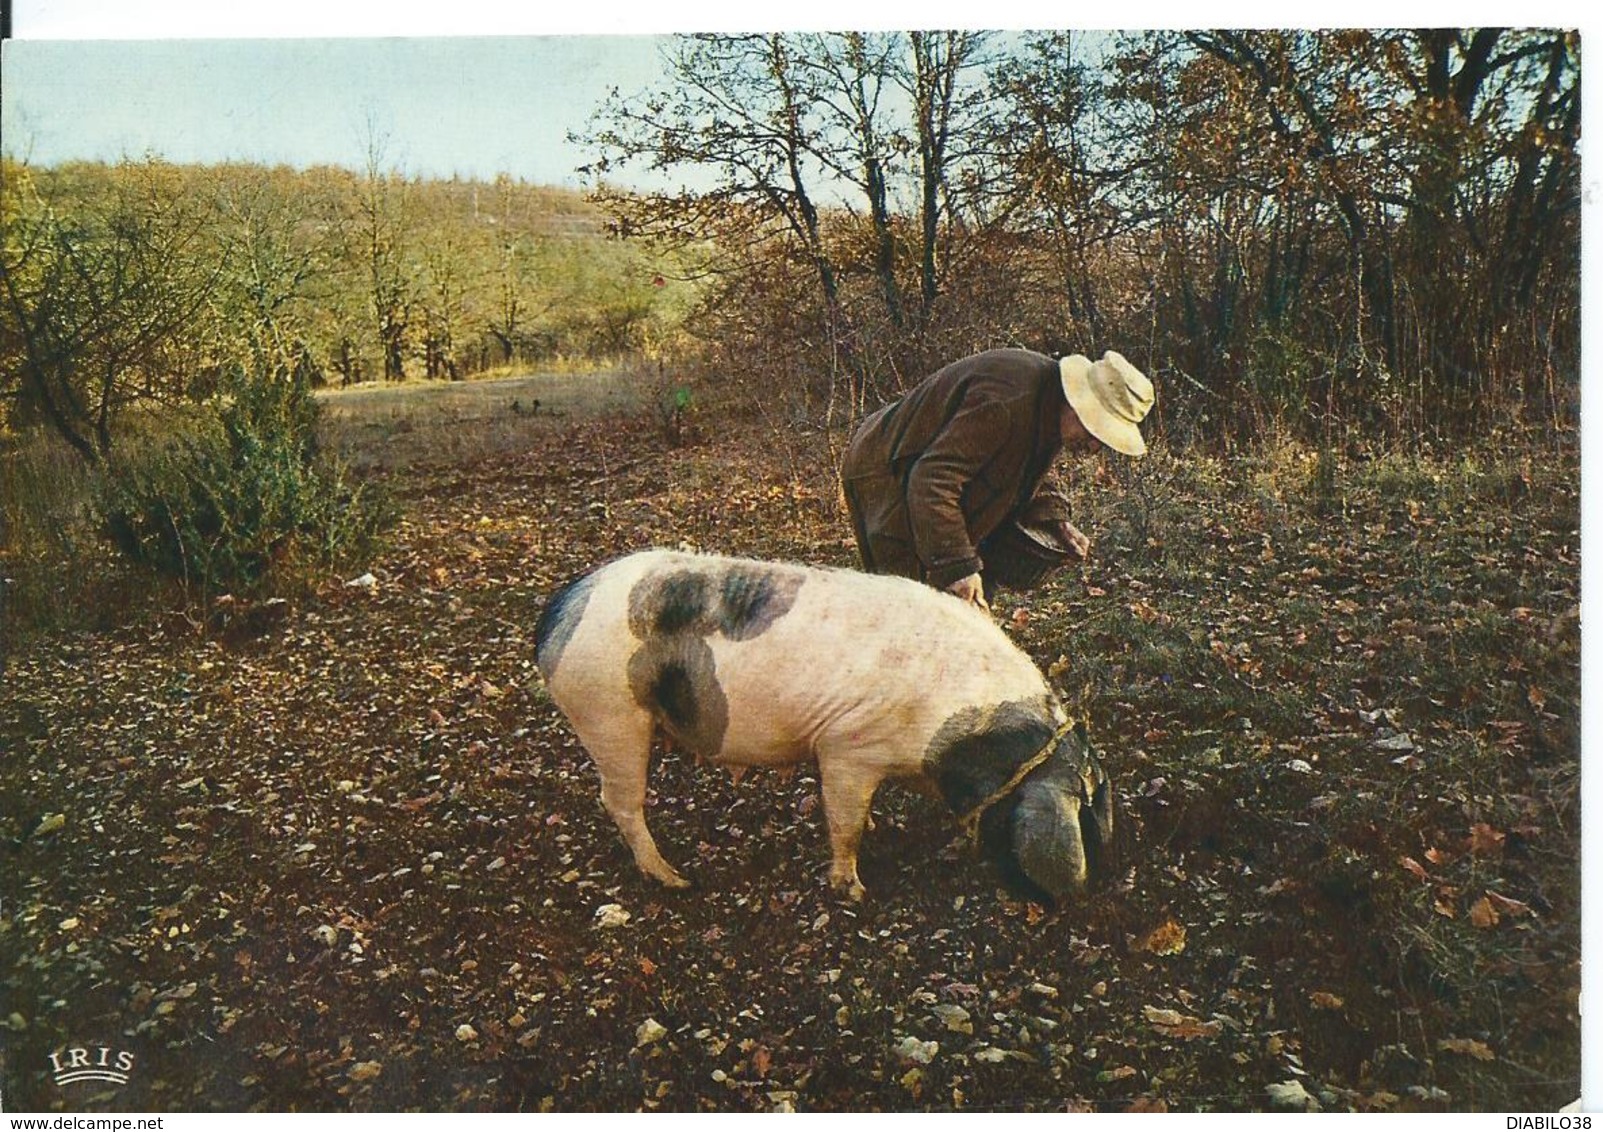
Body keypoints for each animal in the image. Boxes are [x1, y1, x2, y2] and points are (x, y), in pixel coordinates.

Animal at [532, 545, 1109, 897]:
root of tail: (560, 611)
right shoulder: (847, 749)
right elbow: (844, 823)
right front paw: (854, 890)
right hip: (608, 714)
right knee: (619, 801)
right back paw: (675, 879)